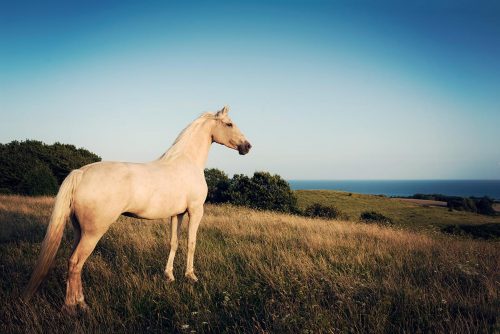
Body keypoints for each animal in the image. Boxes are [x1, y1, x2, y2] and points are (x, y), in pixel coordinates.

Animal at [22, 105, 250, 312]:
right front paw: (191, 276)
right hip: (93, 233)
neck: (187, 162)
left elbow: (174, 243)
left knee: (72, 261)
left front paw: (169, 276)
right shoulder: (195, 211)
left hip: (80, 230)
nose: (247, 146)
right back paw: (74, 306)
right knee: (76, 262)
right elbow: (191, 243)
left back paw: (80, 302)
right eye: (229, 124)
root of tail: (81, 172)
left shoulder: (177, 214)